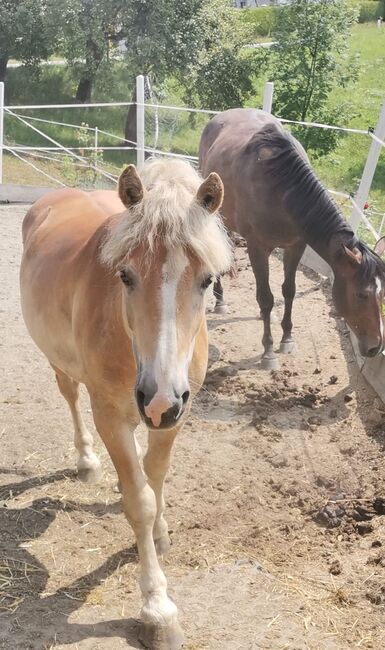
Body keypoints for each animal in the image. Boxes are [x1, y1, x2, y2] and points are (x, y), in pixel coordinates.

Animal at [19, 158, 230, 648]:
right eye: (125, 275)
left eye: (208, 280)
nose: (159, 397)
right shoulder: (111, 417)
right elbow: (141, 502)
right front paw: (157, 608)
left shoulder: (176, 416)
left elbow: (154, 479)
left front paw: (162, 532)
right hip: (63, 368)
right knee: (70, 396)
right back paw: (87, 462)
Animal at [200, 109, 384, 368]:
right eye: (361, 294)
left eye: (382, 294)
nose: (376, 347)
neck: (281, 189)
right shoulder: (257, 248)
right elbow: (266, 298)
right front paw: (268, 352)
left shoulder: (296, 246)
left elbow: (289, 290)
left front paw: (287, 338)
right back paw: (220, 300)